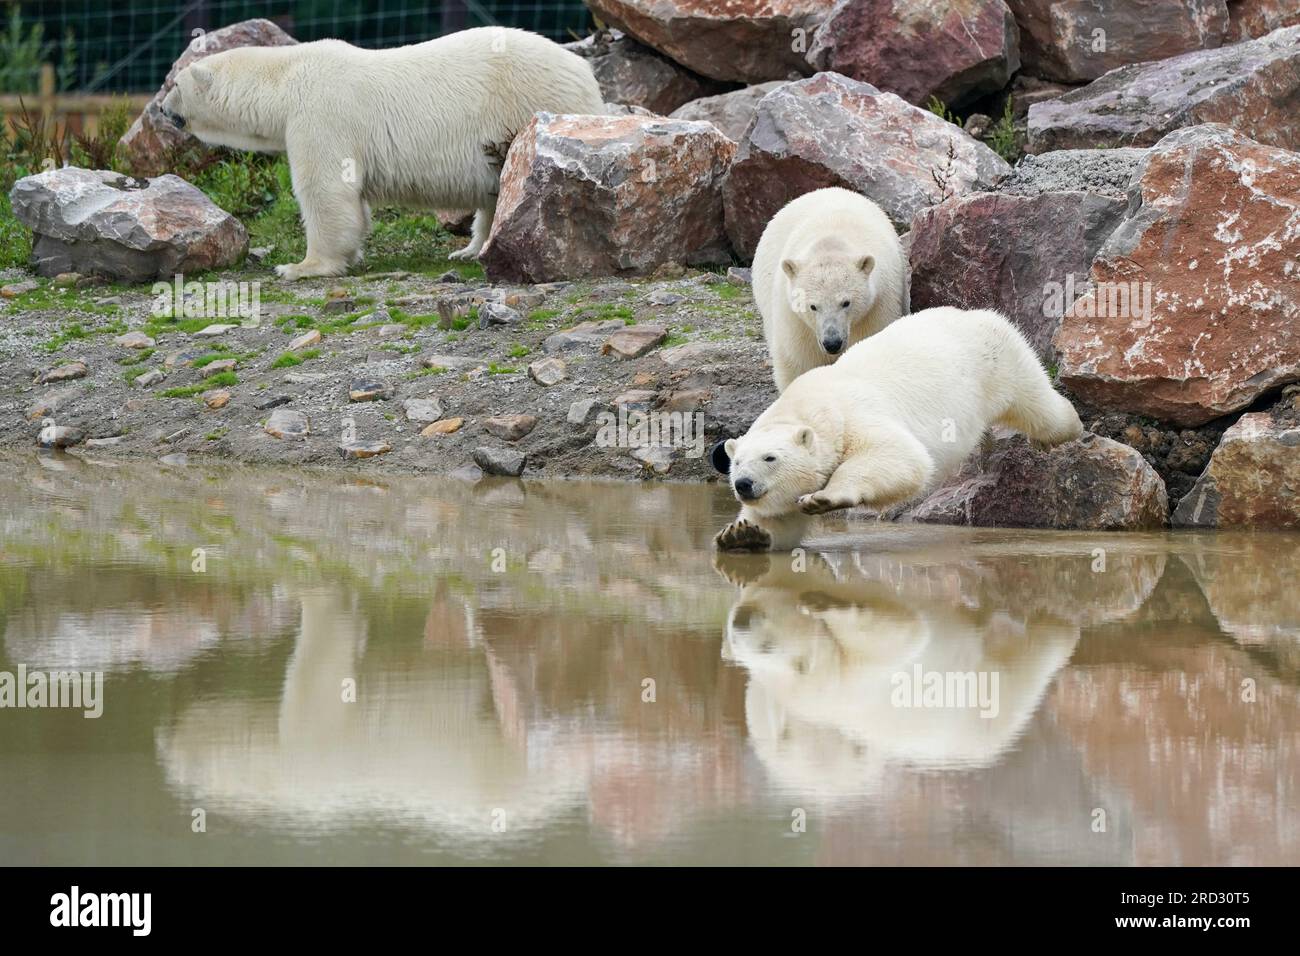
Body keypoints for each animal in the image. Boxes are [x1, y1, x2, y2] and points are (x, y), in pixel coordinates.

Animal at [159, 26, 605, 278]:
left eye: (174, 83)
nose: (162, 109)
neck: (286, 77)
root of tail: (584, 72)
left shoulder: (320, 113)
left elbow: (326, 188)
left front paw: (301, 267)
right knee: (498, 191)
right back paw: (470, 248)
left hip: (527, 105)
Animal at [717, 306, 1081, 554]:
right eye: (737, 463)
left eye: (770, 458)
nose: (743, 484)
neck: (815, 407)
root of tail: (973, 313)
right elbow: (780, 520)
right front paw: (743, 534)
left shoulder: (855, 415)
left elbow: (901, 457)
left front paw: (822, 497)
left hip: (997, 360)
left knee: (1037, 403)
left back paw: (1070, 428)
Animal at [754, 183, 904, 392]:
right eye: (813, 306)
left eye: (846, 302)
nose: (832, 343)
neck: (831, 242)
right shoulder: (796, 322)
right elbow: (798, 363)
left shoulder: (877, 308)